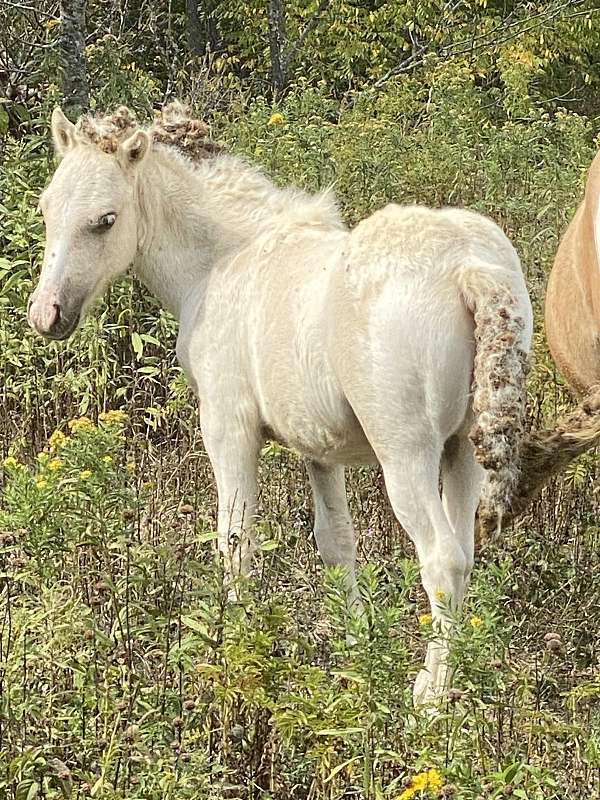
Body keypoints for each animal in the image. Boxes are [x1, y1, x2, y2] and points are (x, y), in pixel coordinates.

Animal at [29, 104, 536, 708]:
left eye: (106, 220)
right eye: (46, 207)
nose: (46, 314)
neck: (221, 263)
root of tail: (468, 268)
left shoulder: (227, 425)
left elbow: (235, 539)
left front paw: (233, 647)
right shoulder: (318, 447)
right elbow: (337, 543)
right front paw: (356, 651)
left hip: (406, 453)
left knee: (442, 558)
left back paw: (429, 700)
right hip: (464, 450)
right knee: (465, 550)